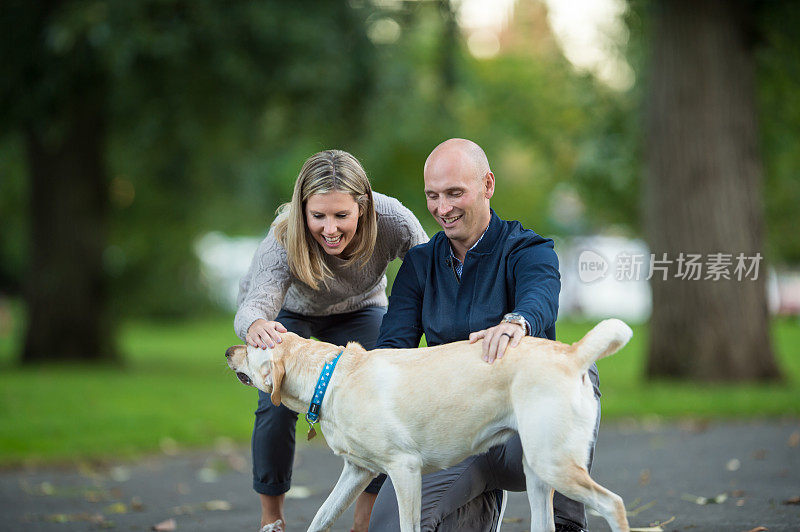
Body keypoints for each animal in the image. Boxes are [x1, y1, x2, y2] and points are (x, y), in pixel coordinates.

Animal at [223, 318, 632, 528]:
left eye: (250, 345)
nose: (227, 350)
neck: (333, 376)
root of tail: (572, 354)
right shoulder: (357, 472)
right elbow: (321, 517)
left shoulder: (405, 470)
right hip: (537, 473)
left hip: (554, 463)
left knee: (612, 504)